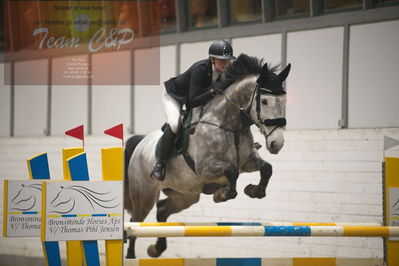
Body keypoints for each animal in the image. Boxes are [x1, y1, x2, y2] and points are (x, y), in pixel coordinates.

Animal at [125, 54, 290, 258]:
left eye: (284, 101)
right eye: (265, 101)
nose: (277, 143)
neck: (230, 124)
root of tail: (140, 143)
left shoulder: (248, 161)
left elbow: (267, 168)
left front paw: (254, 191)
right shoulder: (205, 167)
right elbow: (232, 172)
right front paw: (222, 194)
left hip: (185, 195)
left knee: (162, 210)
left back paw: (156, 249)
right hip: (145, 195)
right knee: (134, 223)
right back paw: (131, 256)